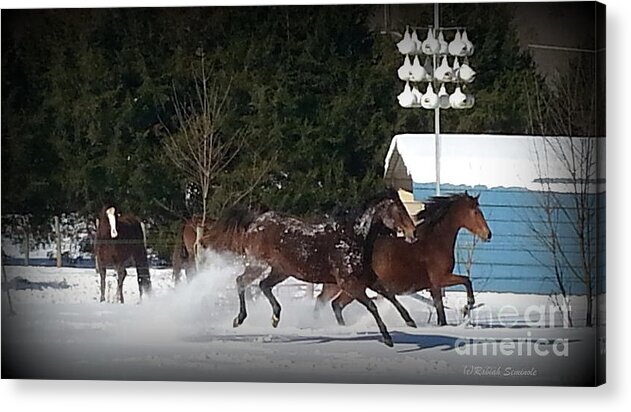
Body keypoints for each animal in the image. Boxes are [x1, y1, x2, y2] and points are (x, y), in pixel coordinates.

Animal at [204, 190, 420, 348]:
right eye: (397, 208)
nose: (413, 232)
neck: (354, 237)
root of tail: (254, 222)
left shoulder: (368, 279)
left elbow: (390, 295)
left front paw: (410, 321)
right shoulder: (350, 284)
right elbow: (372, 306)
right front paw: (387, 338)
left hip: (281, 271)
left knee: (264, 285)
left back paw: (276, 317)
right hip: (258, 265)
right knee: (241, 282)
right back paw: (239, 319)